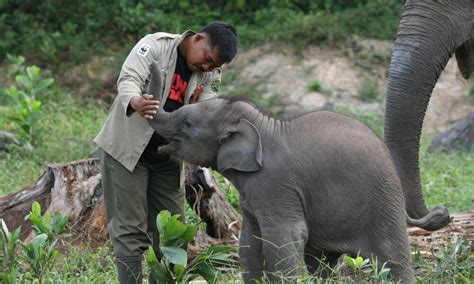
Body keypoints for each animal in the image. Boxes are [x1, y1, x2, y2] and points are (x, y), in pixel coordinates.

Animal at [148, 97, 414, 282]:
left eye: (187, 124)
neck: (264, 126)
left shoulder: (275, 185)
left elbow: (284, 235)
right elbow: (249, 240)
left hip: (383, 200)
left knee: (392, 257)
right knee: (320, 260)